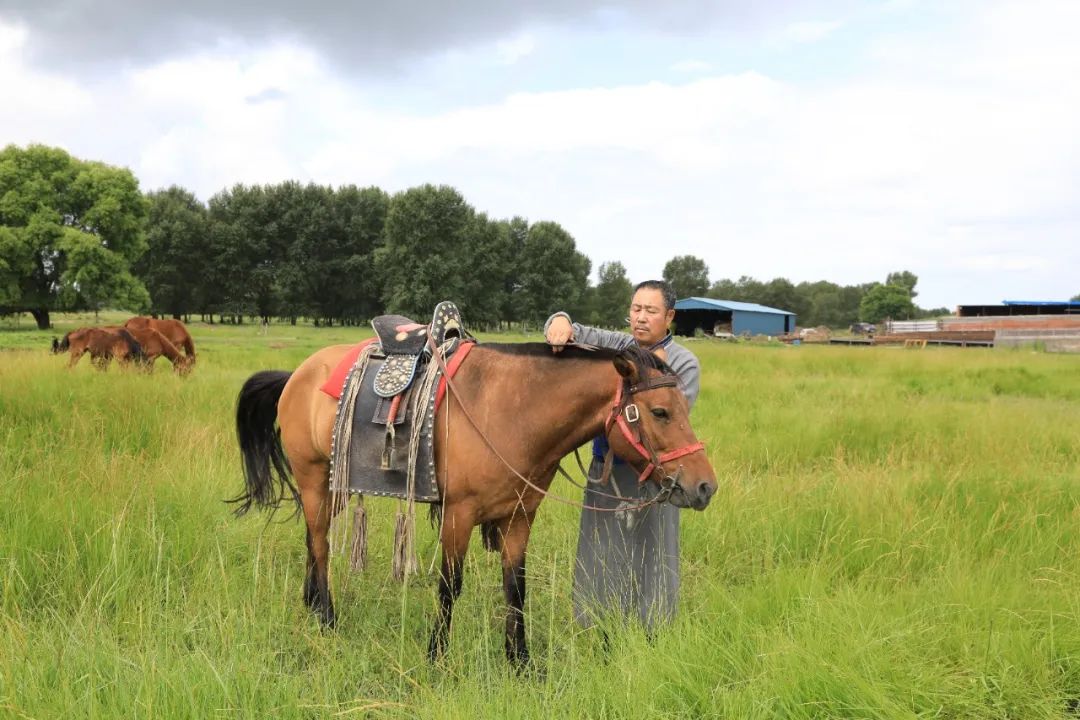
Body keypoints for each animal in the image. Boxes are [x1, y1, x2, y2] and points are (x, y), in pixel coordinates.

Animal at [232, 341, 717, 669]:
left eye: (684, 407)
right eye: (660, 412)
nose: (705, 487)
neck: (510, 410)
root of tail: (299, 373)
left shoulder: (520, 516)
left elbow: (516, 588)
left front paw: (520, 661)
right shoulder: (458, 515)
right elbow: (450, 587)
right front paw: (437, 656)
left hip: (332, 487)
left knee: (313, 539)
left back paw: (312, 601)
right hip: (314, 478)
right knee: (319, 543)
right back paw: (327, 617)